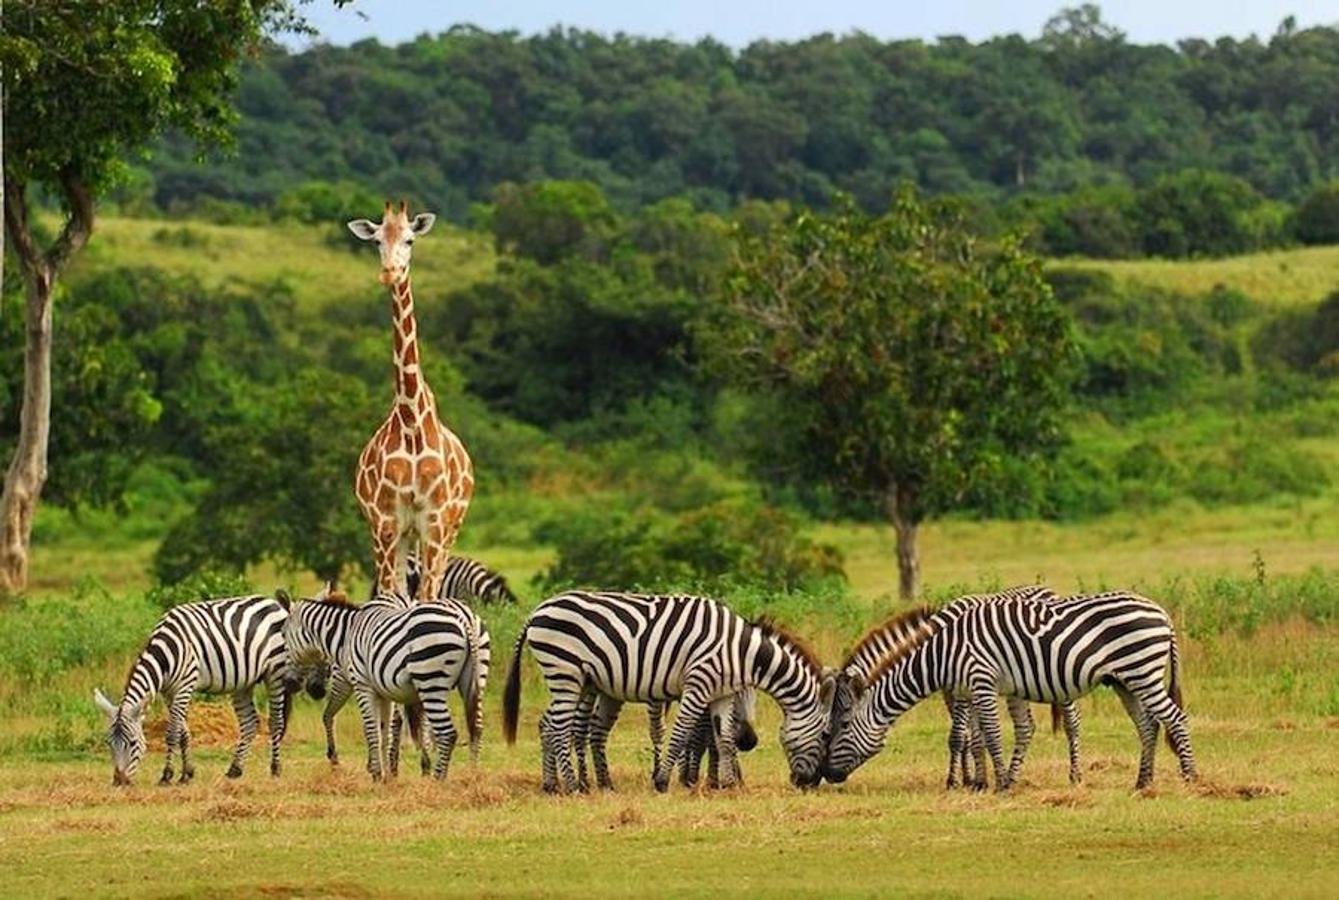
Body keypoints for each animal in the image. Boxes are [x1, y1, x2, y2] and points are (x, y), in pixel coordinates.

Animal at [94, 597, 293, 787]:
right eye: (108, 743)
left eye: (133, 743)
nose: (119, 782)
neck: (166, 653)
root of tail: (275, 603)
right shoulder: (169, 692)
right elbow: (183, 733)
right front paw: (186, 774)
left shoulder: (185, 686)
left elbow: (172, 732)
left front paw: (167, 775)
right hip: (244, 682)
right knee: (250, 723)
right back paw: (235, 770)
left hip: (275, 672)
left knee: (276, 722)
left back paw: (275, 769)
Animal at [285, 589, 484, 782]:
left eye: (285, 639)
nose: (313, 691)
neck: (345, 636)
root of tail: (463, 619)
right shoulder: (383, 693)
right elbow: (384, 731)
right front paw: (386, 774)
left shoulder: (360, 685)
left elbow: (368, 729)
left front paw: (374, 773)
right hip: (472, 681)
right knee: (475, 728)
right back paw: (471, 774)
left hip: (430, 681)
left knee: (448, 733)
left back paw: (437, 780)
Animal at [348, 200, 474, 600]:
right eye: (376, 241)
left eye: (410, 240)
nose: (390, 272)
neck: (411, 421)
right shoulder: (386, 521)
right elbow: (394, 596)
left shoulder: (434, 522)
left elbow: (426, 598)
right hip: (395, 532)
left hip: (449, 527)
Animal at [503, 594, 835, 792]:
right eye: (824, 736)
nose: (809, 783)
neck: (741, 651)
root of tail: (538, 609)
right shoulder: (699, 684)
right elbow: (681, 733)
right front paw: (663, 781)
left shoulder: (722, 693)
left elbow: (724, 739)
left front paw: (727, 785)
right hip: (565, 672)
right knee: (559, 728)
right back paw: (573, 786)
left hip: (575, 678)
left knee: (548, 724)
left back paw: (553, 785)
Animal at [819, 594, 1199, 792]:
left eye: (840, 728)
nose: (825, 774)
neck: (942, 651)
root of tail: (1161, 612)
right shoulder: (973, 688)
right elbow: (981, 736)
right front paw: (991, 781)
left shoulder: (981, 680)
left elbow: (989, 734)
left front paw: (998, 782)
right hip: (1126, 680)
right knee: (1148, 724)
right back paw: (1142, 782)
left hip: (1142, 670)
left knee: (1175, 718)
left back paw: (1190, 778)